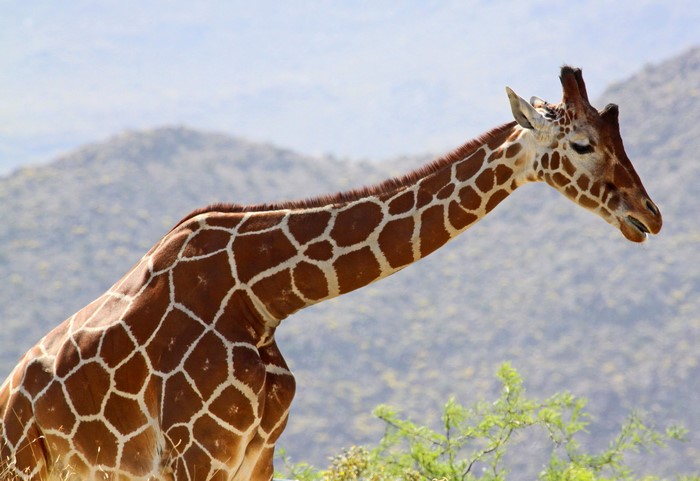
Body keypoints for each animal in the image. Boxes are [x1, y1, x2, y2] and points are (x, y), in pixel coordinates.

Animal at [0, 66, 661, 480]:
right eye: (581, 144)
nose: (649, 215)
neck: (261, 298)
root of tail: (9, 397)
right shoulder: (198, 454)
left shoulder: (258, 455)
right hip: (25, 465)